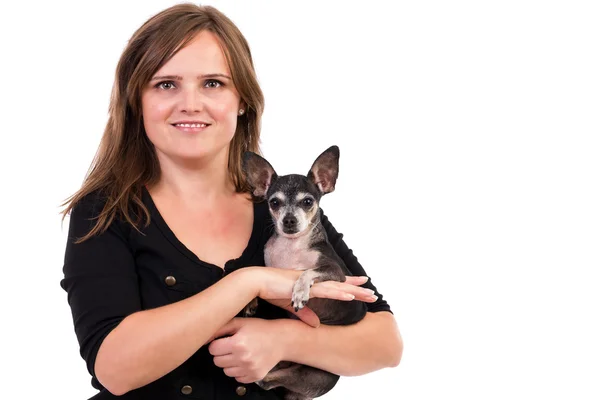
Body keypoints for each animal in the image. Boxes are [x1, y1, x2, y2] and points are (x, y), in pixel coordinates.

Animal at [241, 146, 368, 400]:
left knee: (266, 382)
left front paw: (300, 292)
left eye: (308, 201)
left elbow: (307, 271)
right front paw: (251, 300)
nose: (289, 220)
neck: (291, 248)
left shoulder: (335, 273)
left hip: (307, 373)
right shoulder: (270, 267)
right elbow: (259, 272)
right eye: (274, 203)